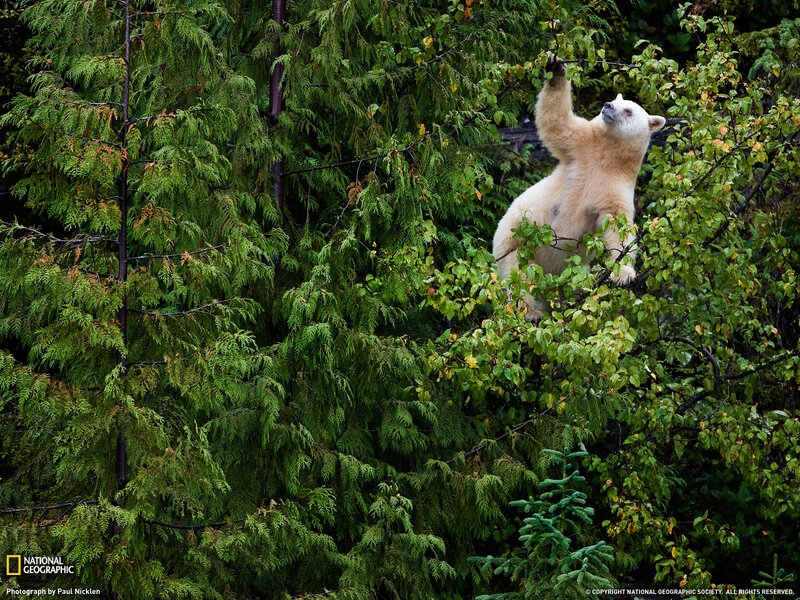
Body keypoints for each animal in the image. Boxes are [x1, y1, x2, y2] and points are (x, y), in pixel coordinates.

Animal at [493, 56, 666, 320]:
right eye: (616, 100)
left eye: (628, 110)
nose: (607, 105)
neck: (605, 154)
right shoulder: (579, 147)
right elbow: (557, 122)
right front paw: (556, 69)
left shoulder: (616, 185)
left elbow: (618, 224)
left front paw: (623, 274)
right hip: (512, 243)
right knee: (520, 276)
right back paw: (531, 312)